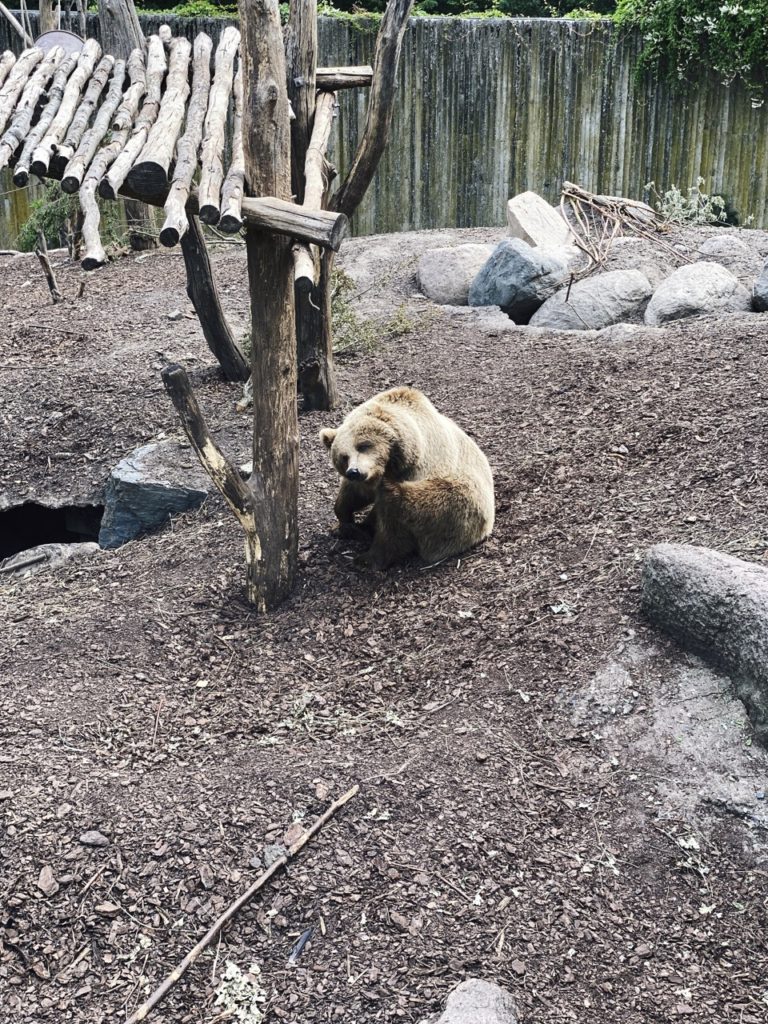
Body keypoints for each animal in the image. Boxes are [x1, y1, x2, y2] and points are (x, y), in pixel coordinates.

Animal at [319, 386, 494, 569]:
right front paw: (345, 523)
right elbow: (352, 495)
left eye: (363, 446)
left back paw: (368, 557)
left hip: (462, 502)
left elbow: (394, 520)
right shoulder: (368, 478)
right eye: (343, 457)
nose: (354, 471)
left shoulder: (419, 468)